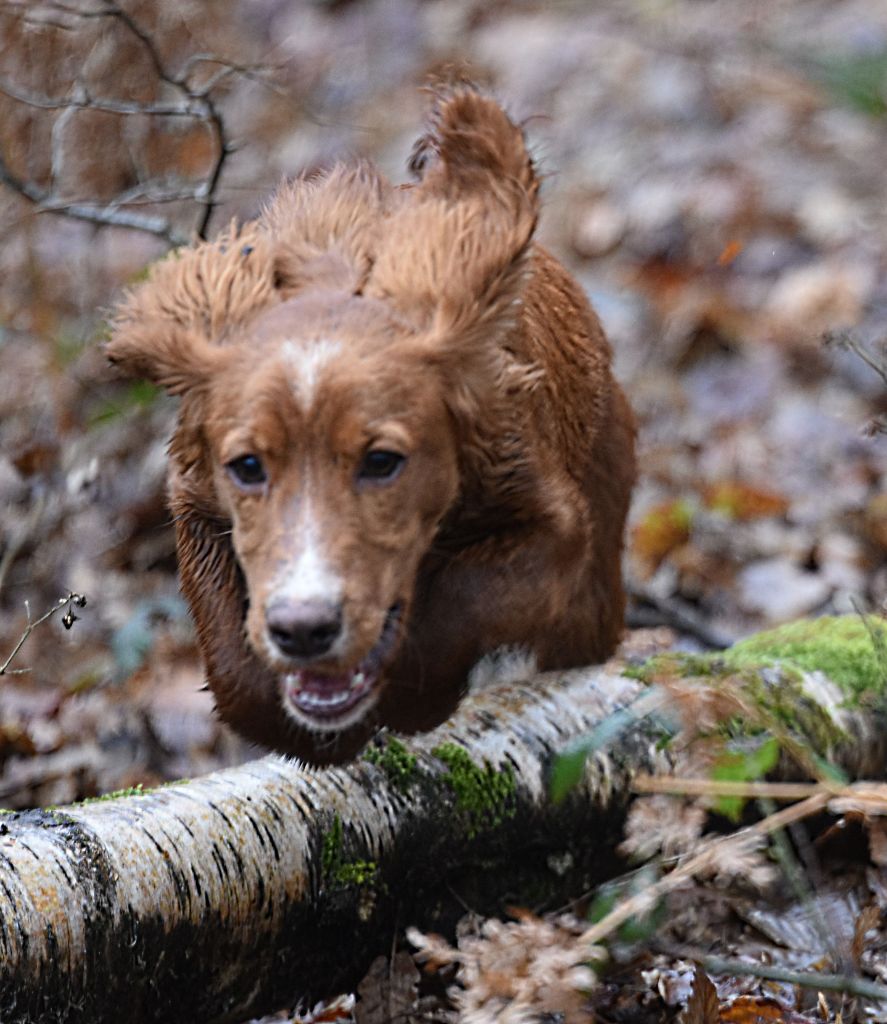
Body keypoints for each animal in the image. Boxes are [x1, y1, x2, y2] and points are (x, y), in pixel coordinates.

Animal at [107, 86, 630, 761]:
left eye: (382, 461)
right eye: (247, 466)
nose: (304, 630)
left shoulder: (548, 514)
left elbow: (459, 599)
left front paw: (412, 695)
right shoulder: (195, 497)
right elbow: (233, 663)